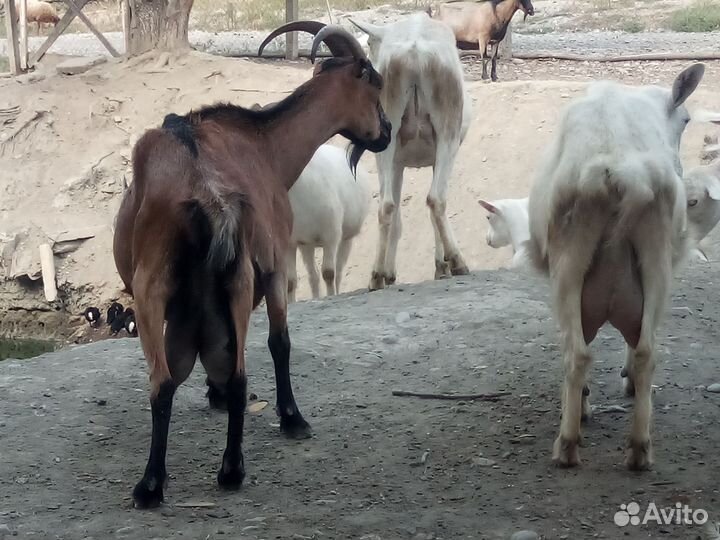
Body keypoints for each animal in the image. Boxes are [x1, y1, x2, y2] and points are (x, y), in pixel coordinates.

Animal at [287, 144, 372, 302]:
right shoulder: (290, 243)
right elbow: (290, 281)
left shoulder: (331, 236)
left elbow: (329, 273)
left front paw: (331, 295)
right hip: (306, 244)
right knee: (312, 275)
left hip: (345, 239)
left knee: (338, 272)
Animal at [350, 12, 473, 290]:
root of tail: (414, 53)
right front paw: (441, 267)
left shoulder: (397, 163)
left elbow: (395, 215)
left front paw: (389, 273)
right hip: (448, 133)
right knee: (436, 199)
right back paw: (458, 263)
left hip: (387, 136)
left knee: (386, 205)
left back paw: (376, 277)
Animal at [524, 64, 706, 470]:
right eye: (686, 120)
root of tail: (617, 170)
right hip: (656, 254)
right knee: (646, 351)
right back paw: (639, 448)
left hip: (569, 256)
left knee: (577, 353)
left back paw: (568, 444)